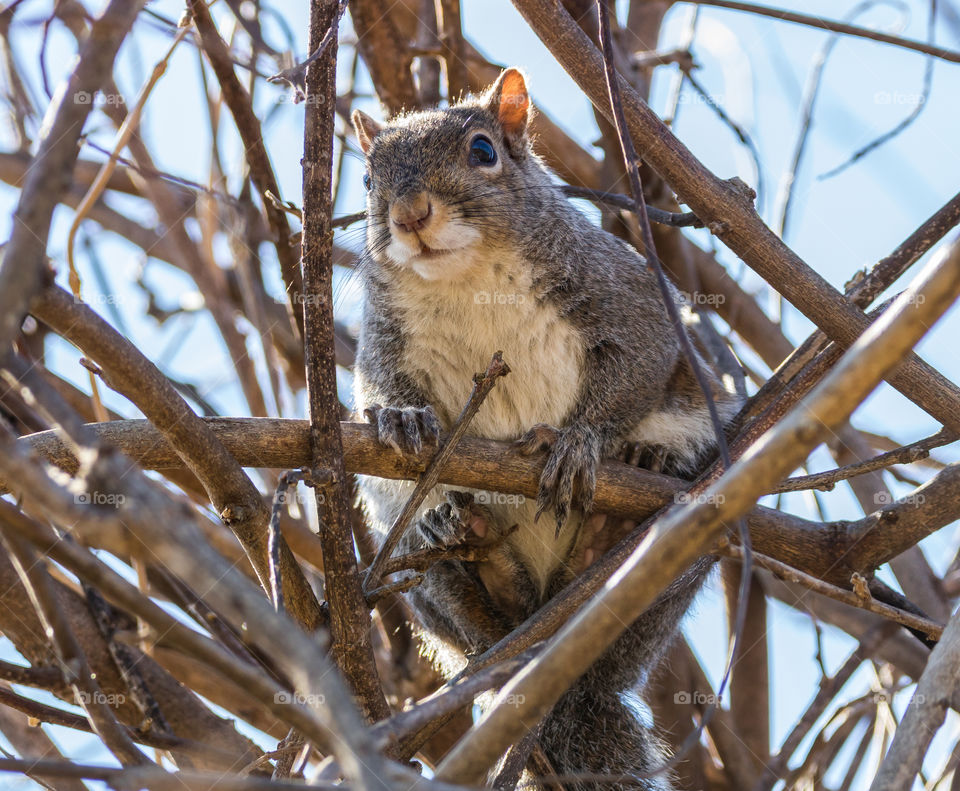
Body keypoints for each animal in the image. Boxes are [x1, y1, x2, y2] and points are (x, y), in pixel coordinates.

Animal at [352, 69, 744, 791]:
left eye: (484, 151)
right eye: (367, 179)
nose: (410, 214)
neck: (468, 278)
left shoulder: (630, 298)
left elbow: (636, 370)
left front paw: (578, 443)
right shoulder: (382, 343)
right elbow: (378, 387)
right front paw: (401, 416)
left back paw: (622, 506)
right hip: (412, 562)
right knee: (471, 601)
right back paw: (469, 540)